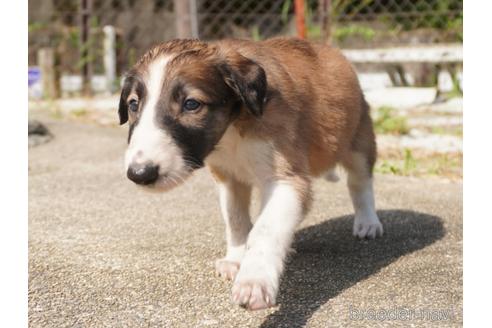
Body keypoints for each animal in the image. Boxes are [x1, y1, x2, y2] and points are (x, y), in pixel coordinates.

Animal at [117, 38, 382, 310]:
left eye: (191, 104)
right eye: (133, 105)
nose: (139, 173)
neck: (233, 127)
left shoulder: (286, 180)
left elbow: (265, 228)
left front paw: (254, 280)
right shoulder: (228, 178)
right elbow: (236, 220)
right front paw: (236, 259)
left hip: (358, 142)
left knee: (360, 183)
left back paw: (367, 222)